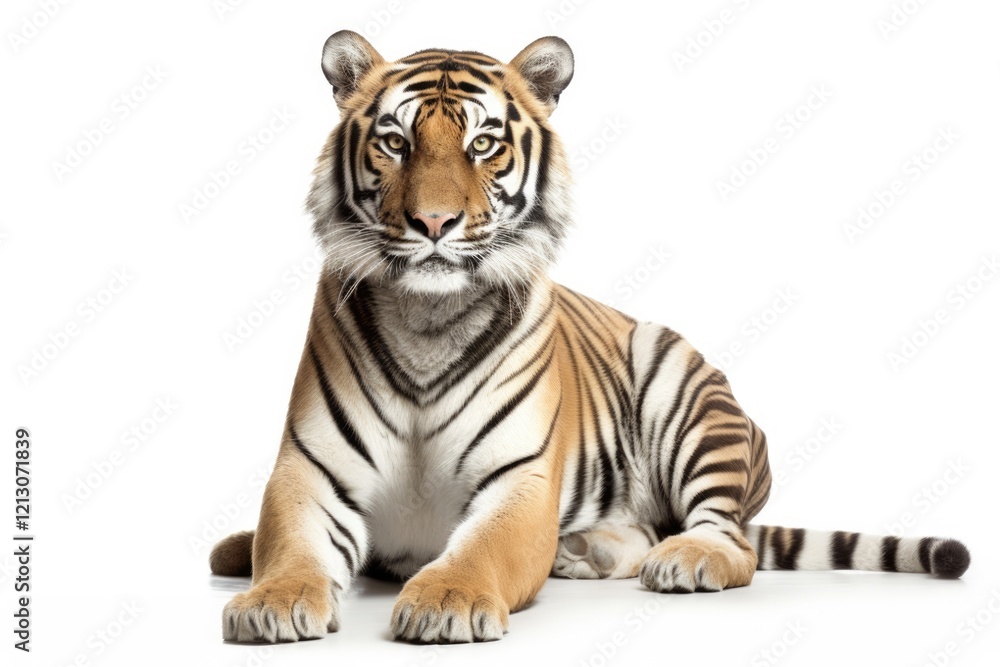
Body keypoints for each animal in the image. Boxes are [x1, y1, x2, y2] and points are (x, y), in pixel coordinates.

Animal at [209, 30, 971, 644]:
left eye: (482, 144)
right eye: (395, 142)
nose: (433, 223)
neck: (429, 317)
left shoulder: (519, 481)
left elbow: (479, 550)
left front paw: (447, 598)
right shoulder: (308, 473)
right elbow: (290, 549)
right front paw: (272, 601)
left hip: (684, 395)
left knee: (726, 536)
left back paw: (677, 557)